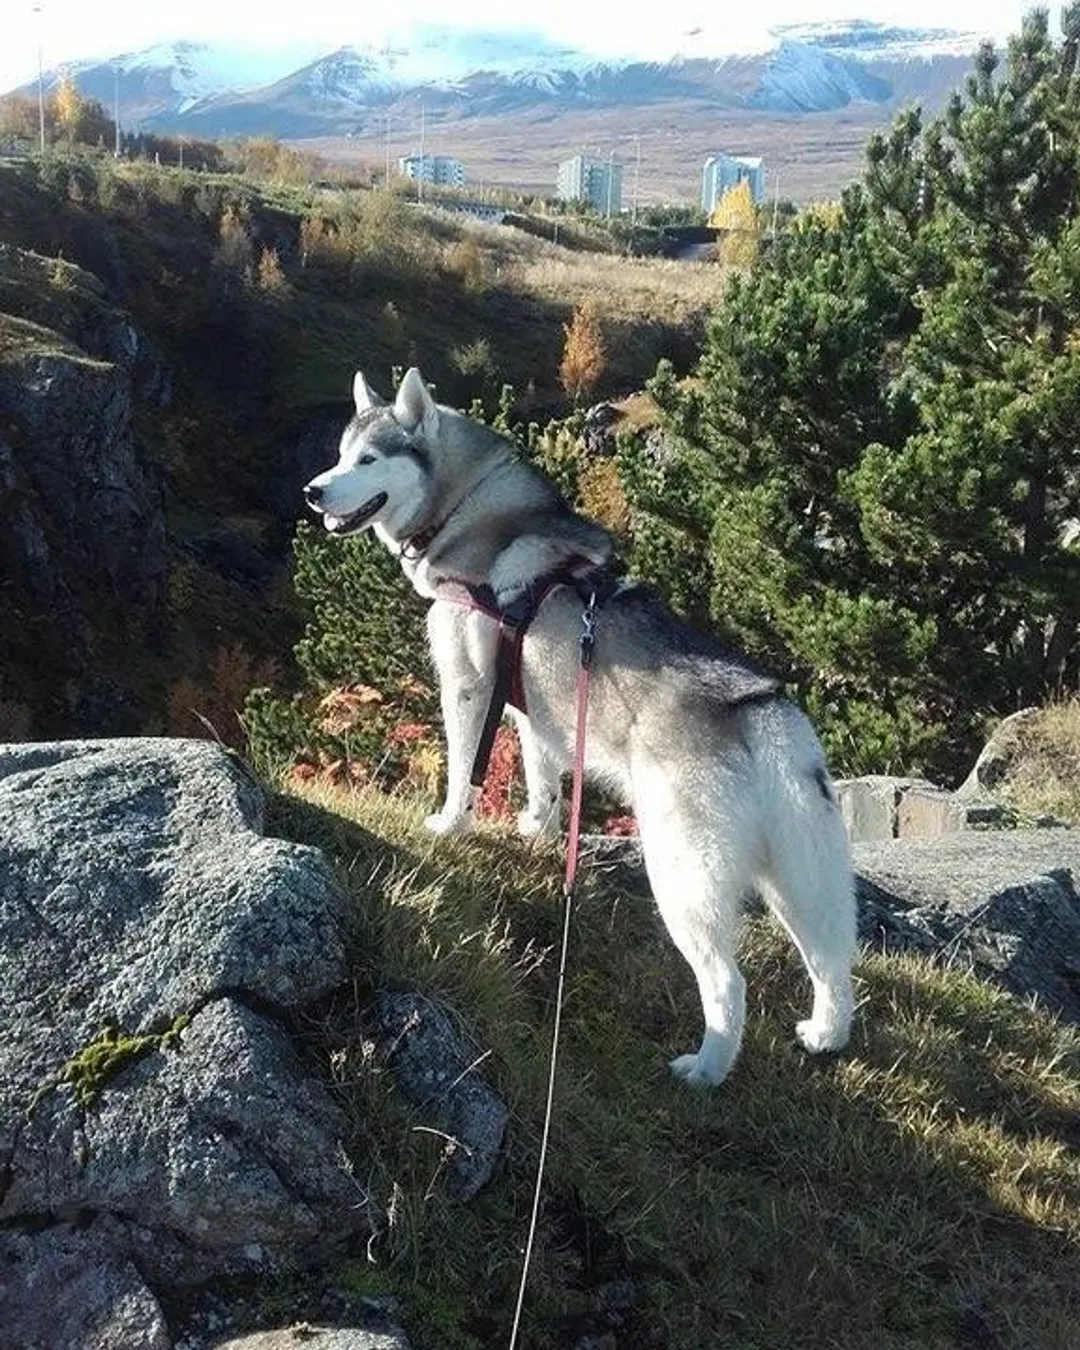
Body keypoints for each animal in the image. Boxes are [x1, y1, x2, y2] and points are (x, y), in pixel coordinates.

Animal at [301, 369, 853, 1085]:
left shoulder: (467, 687)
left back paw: (706, 1067)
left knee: (728, 982)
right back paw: (825, 1033)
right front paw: (536, 829)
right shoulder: (538, 713)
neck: (468, 508)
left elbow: (463, 770)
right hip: (799, 876)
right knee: (831, 958)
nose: (313, 491)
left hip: (684, 874)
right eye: (341, 454)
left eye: (368, 461)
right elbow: (543, 777)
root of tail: (756, 707)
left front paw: (450, 824)